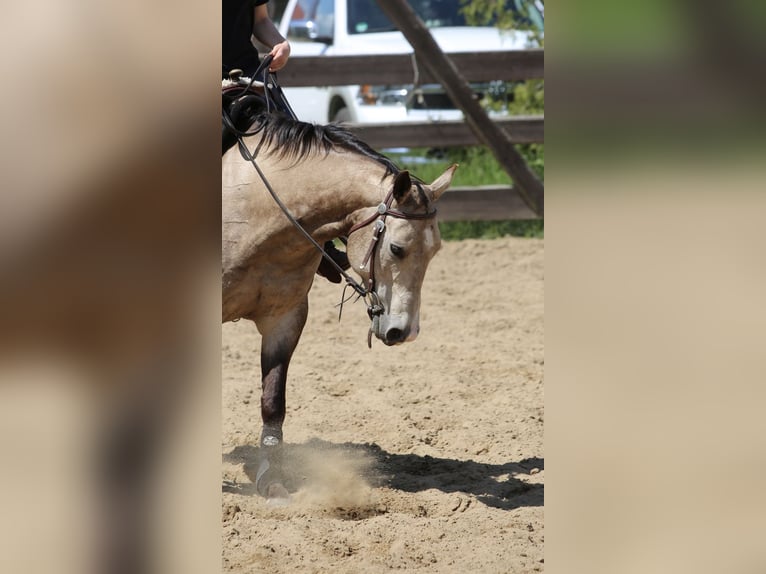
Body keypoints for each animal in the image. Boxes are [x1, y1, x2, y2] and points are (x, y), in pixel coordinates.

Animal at [222, 112, 456, 501]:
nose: (405, 332)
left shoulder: (285, 318)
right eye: (396, 248)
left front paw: (273, 483)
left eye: (436, 250)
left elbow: (273, 401)